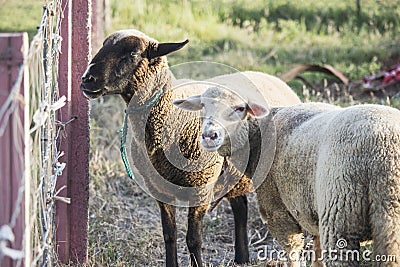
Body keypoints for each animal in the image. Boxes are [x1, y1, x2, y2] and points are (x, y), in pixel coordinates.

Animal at [79, 30, 300, 266]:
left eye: (133, 54)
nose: (87, 80)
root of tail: (275, 78)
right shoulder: (160, 189)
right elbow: (169, 234)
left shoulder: (201, 189)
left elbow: (193, 239)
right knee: (240, 207)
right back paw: (242, 257)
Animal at [177, 86, 400, 267]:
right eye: (202, 106)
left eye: (239, 109)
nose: (209, 136)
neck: (257, 136)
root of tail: (386, 149)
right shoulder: (312, 210)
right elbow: (317, 254)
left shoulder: (277, 209)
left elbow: (292, 251)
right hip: (389, 217)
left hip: (341, 214)